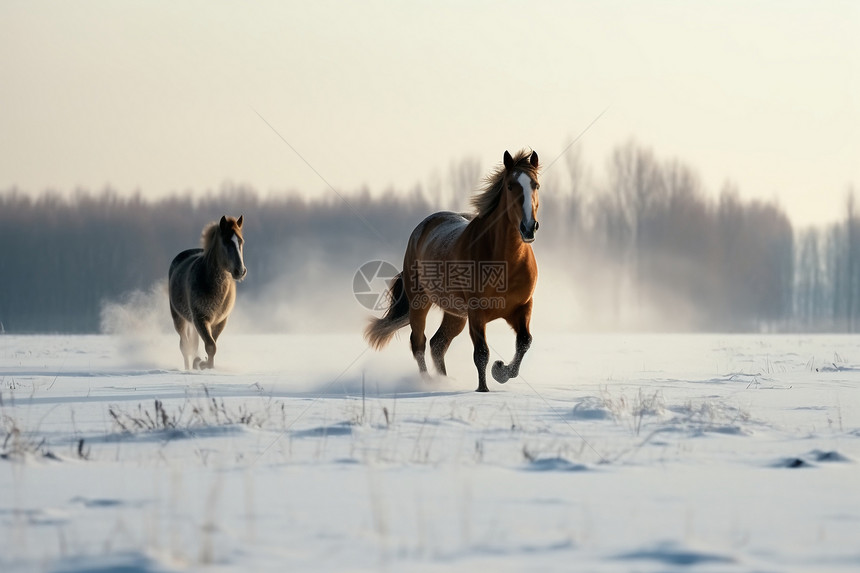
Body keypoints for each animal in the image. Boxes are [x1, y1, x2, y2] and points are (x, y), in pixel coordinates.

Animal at [169, 216, 247, 370]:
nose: (240, 270)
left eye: (241, 241)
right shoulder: (200, 318)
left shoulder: (220, 321)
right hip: (178, 318)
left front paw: (205, 364)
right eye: (226, 241)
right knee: (184, 346)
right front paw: (202, 364)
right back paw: (188, 368)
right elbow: (210, 346)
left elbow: (212, 345)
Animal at [366, 150, 540, 392]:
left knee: (438, 344)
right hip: (420, 303)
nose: (528, 227)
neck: (506, 262)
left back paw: (444, 381)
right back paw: (429, 382)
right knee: (419, 343)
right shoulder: (476, 312)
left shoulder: (522, 307)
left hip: (455, 314)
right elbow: (481, 353)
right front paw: (483, 389)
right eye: (510, 186)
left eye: (535, 185)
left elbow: (524, 342)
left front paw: (500, 371)